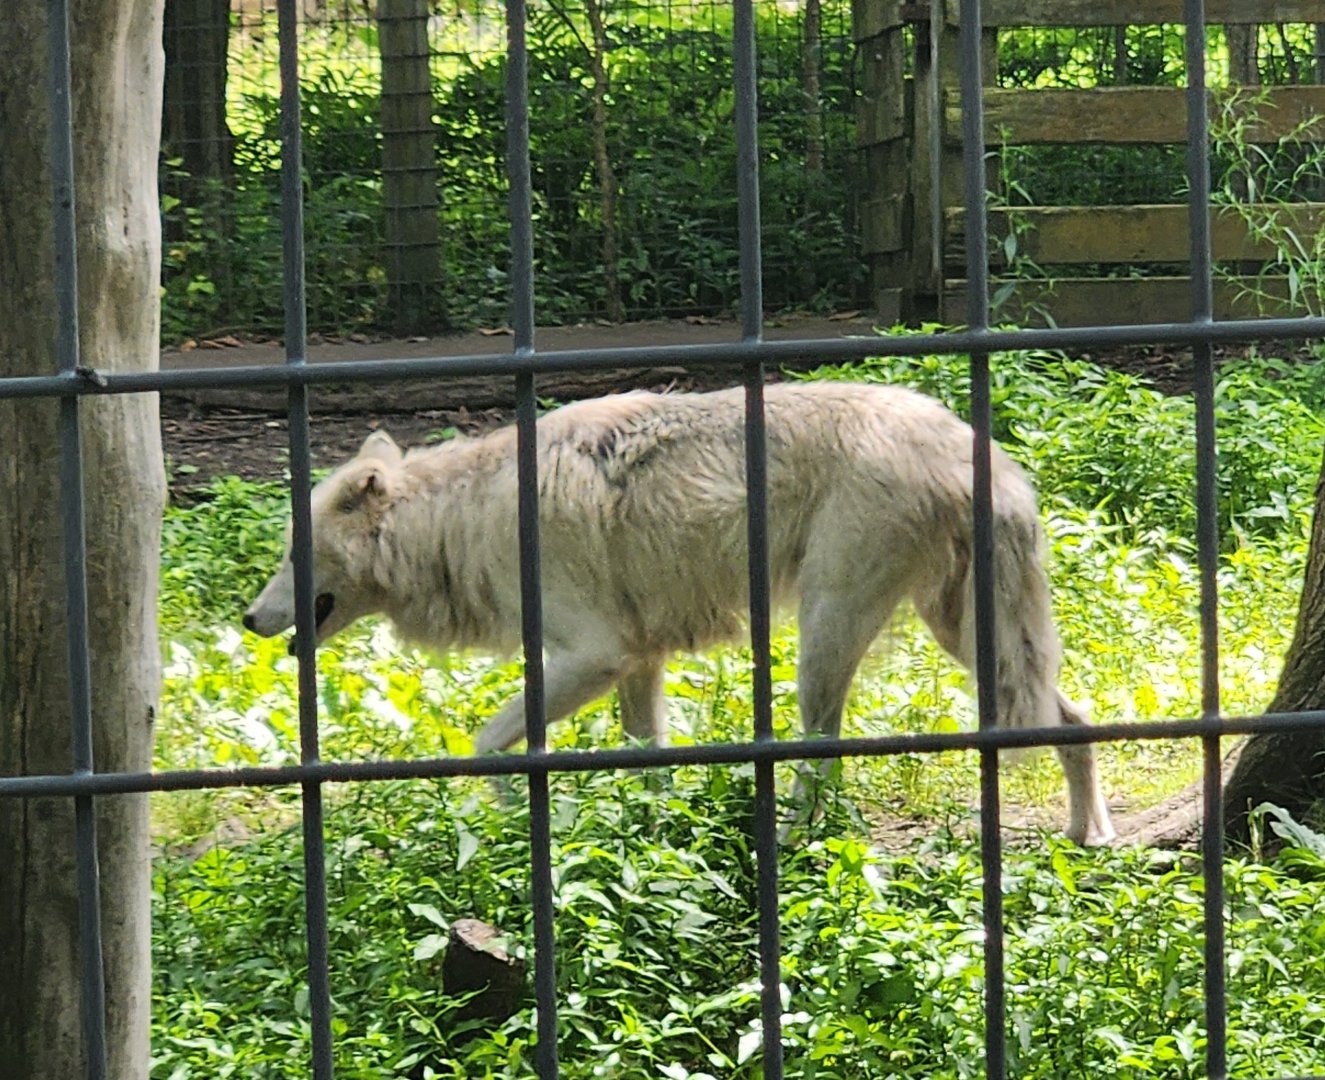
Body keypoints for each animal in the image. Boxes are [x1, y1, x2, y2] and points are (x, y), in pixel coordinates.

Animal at [244, 382, 1115, 846]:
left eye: (289, 555)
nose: (249, 620)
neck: (465, 521)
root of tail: (974, 445)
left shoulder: (592, 655)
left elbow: (488, 744)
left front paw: (513, 824)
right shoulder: (639, 661)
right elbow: (647, 763)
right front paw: (653, 839)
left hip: (827, 632)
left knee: (822, 752)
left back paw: (790, 837)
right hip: (963, 633)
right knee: (1072, 719)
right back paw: (1091, 834)